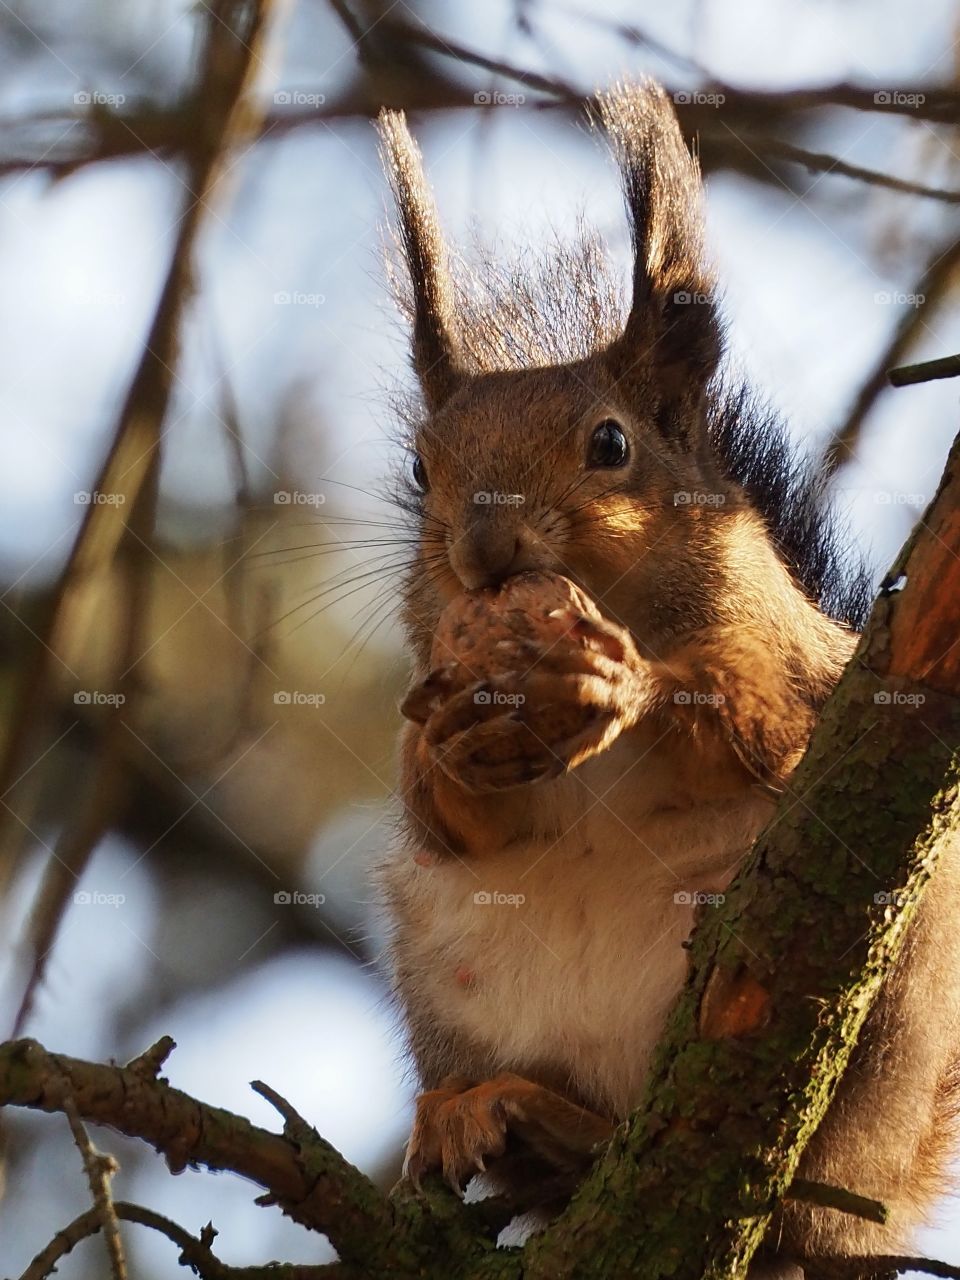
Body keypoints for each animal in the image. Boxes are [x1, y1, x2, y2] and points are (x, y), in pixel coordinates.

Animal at [374, 81, 960, 1271]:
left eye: (611, 445)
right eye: (420, 468)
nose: (485, 549)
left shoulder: (796, 671)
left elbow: (766, 725)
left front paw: (623, 686)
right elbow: (455, 825)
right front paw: (438, 743)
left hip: (876, 1009)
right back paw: (506, 1120)